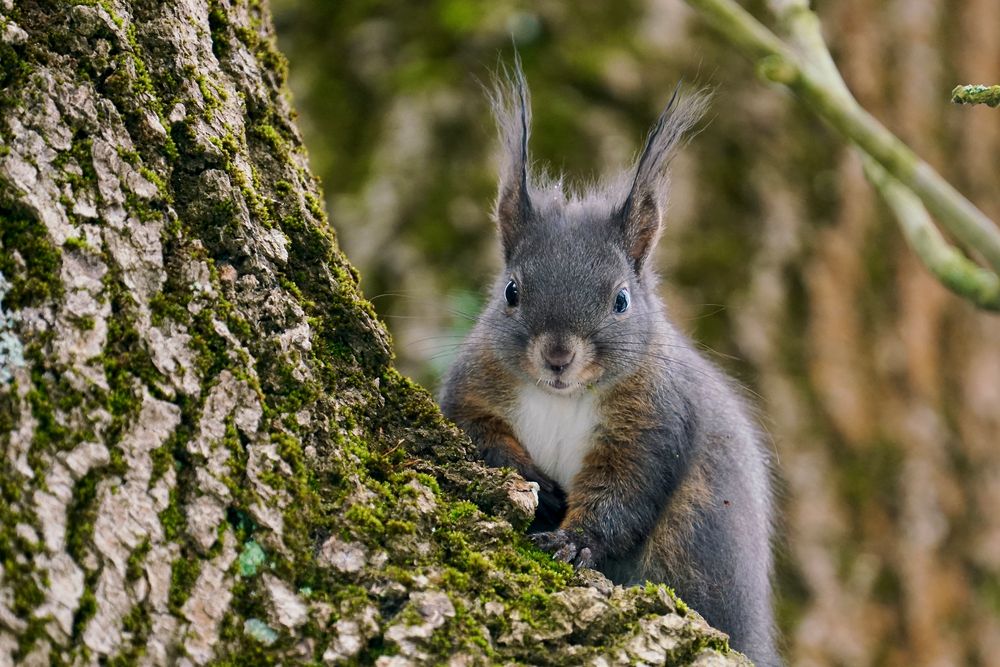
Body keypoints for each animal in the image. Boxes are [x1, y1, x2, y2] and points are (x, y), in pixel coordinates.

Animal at [440, 60, 780, 664]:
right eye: (510, 292)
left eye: (621, 299)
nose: (558, 356)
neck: (561, 396)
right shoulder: (472, 387)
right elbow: (480, 434)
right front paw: (534, 481)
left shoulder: (653, 421)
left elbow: (623, 493)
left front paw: (576, 541)